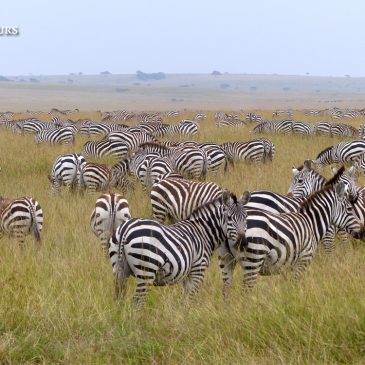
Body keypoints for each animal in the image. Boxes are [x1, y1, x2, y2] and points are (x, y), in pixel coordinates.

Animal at [109, 191, 249, 304]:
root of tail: (125, 229)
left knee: (119, 299)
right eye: (229, 218)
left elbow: (184, 299)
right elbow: (191, 298)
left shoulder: (186, 274)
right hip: (146, 270)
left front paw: (183, 315)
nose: (242, 243)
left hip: (119, 268)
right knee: (138, 300)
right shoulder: (198, 270)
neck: (203, 232)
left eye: (246, 217)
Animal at [218, 181, 362, 294]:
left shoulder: (288, 264)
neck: (311, 222)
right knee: (246, 291)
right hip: (254, 260)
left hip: (226, 260)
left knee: (226, 290)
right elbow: (295, 283)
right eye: (350, 209)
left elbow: (288, 286)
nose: (362, 232)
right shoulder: (304, 259)